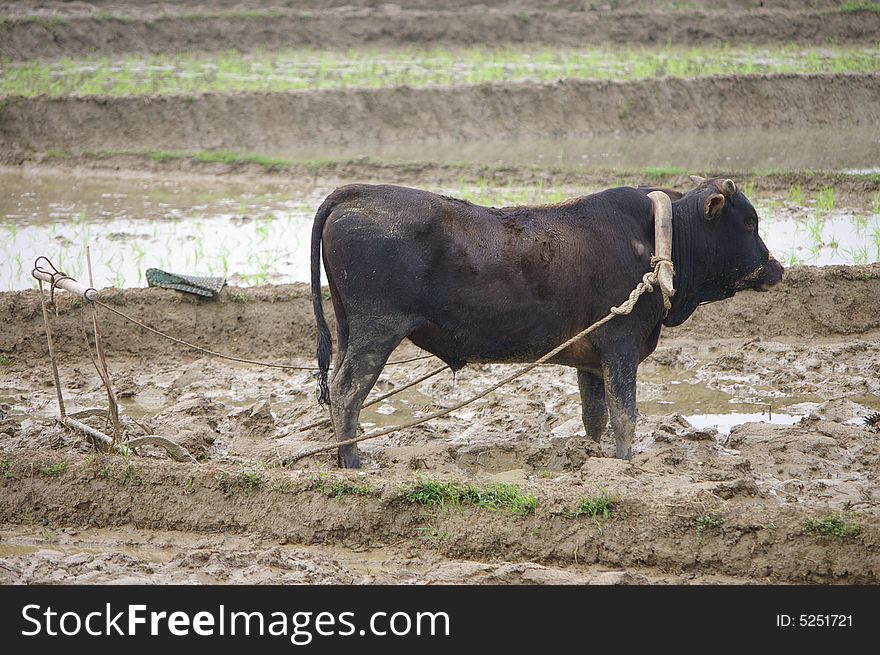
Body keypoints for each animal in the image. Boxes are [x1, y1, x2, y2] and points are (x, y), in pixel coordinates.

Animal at [310, 177, 784, 468]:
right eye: (749, 221)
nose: (776, 268)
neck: (658, 240)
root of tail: (354, 193)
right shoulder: (621, 346)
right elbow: (625, 415)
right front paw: (626, 463)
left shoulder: (592, 359)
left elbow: (595, 417)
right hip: (377, 331)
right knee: (347, 391)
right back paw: (353, 460)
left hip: (351, 328)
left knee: (338, 387)